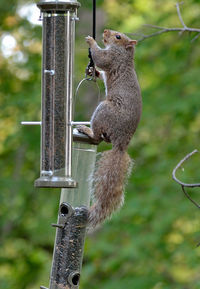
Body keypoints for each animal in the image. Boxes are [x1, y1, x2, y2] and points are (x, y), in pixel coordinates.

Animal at [77, 28, 141, 227]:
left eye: (118, 36)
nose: (105, 31)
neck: (125, 54)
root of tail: (121, 144)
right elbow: (99, 70)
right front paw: (93, 71)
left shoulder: (112, 58)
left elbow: (100, 58)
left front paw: (91, 41)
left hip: (103, 110)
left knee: (97, 137)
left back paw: (86, 130)